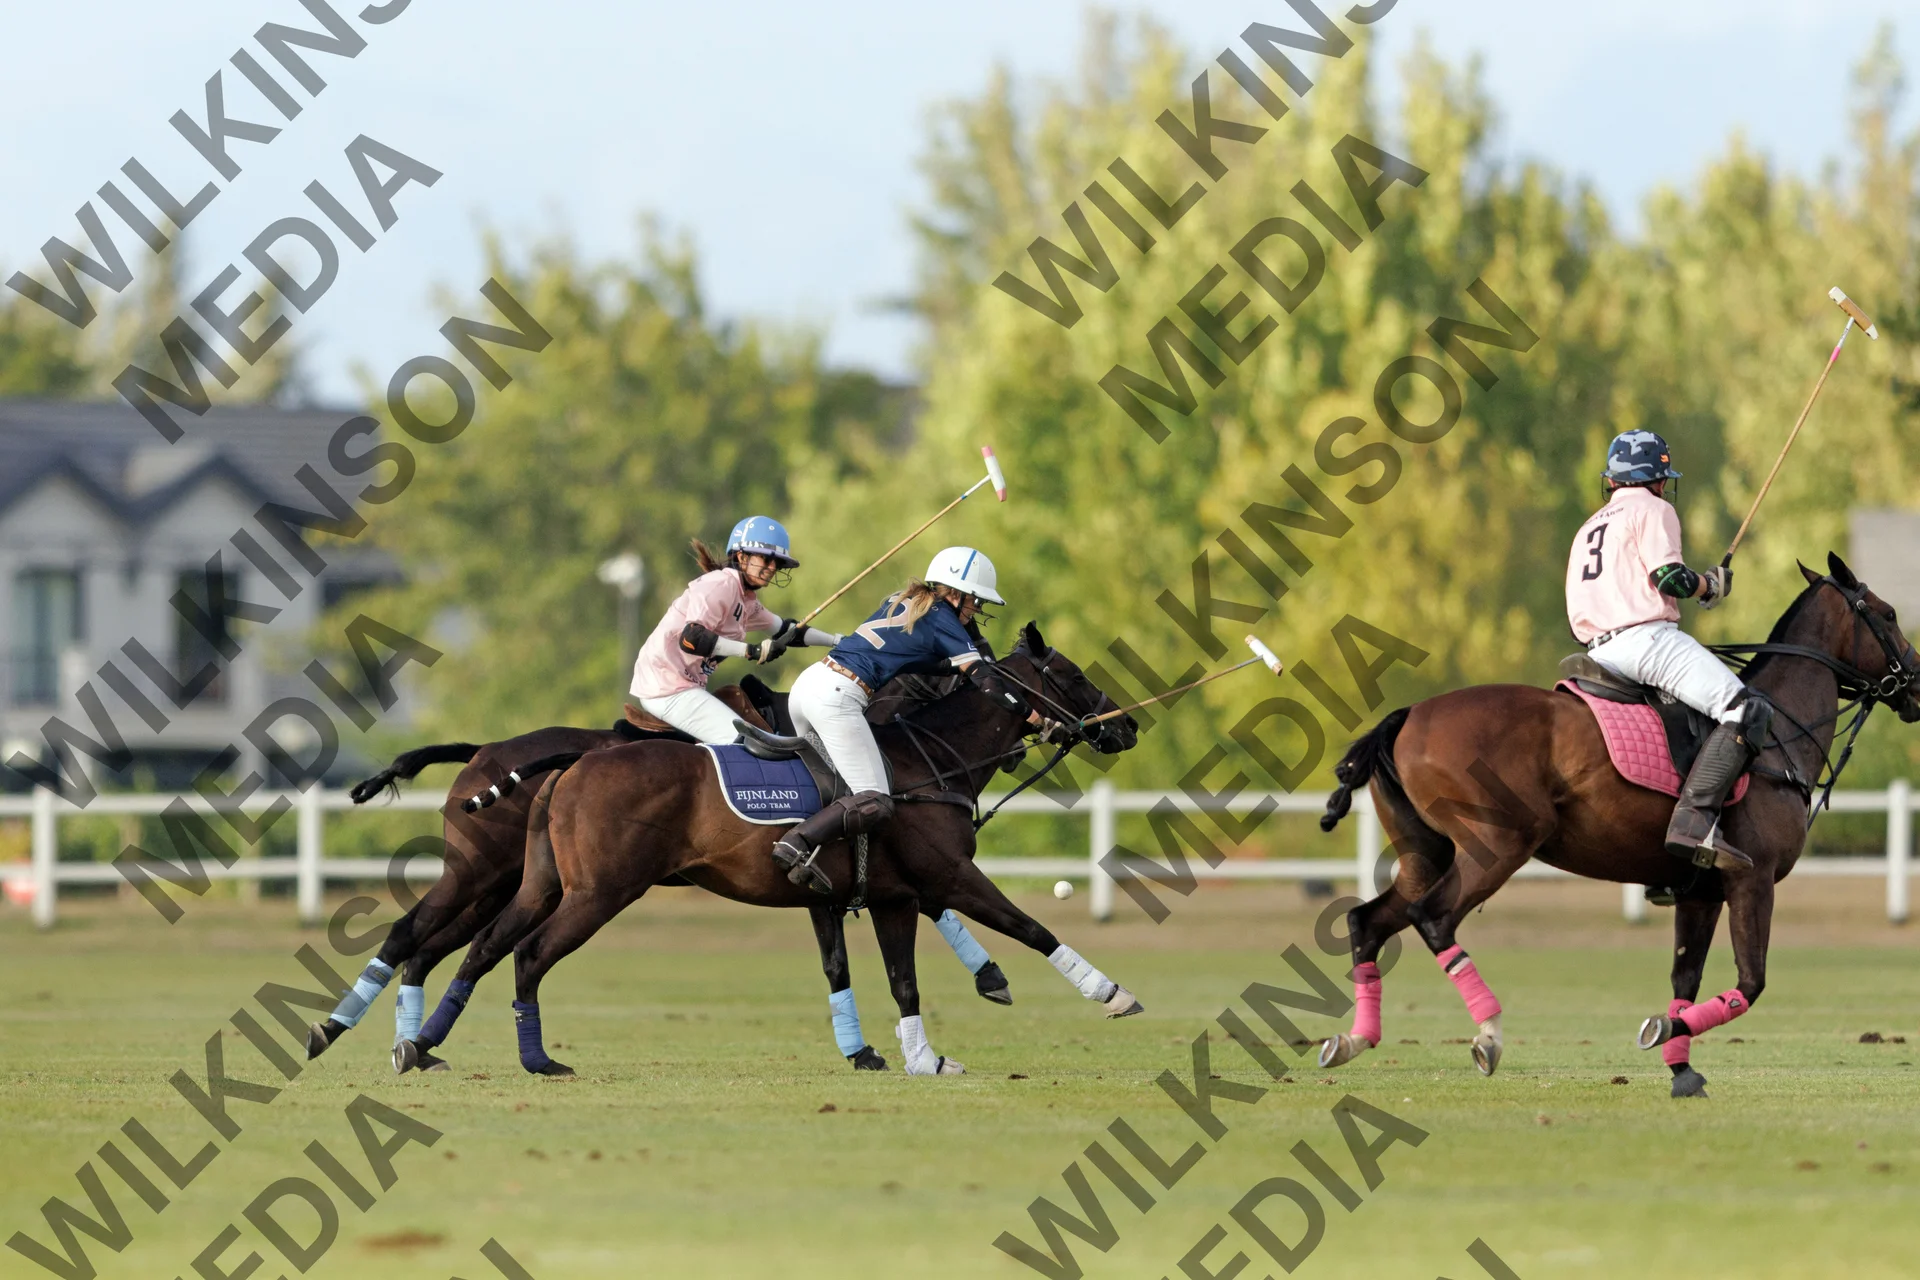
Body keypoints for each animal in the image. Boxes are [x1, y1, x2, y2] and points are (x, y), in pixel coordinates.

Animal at [305, 679, 1018, 1073]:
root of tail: (481, 751)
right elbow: (937, 902)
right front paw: (990, 976)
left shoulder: (833, 878)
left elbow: (863, 944)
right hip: (493, 877)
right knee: (415, 936)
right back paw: (343, 1034)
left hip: (508, 886)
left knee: (444, 948)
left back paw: (413, 1045)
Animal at [398, 621, 1143, 1077]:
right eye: (1070, 672)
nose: (1127, 727)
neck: (924, 757)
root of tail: (567, 761)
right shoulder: (948, 876)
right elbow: (1030, 926)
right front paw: (1111, 993)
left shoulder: (887, 896)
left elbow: (889, 976)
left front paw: (914, 1058)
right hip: (588, 891)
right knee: (511, 951)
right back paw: (534, 1060)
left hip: (537, 883)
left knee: (477, 946)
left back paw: (418, 1043)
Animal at [1317, 554, 1918, 1097]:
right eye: (1887, 614)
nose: (1915, 684)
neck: (1779, 736)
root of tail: (1407, 716)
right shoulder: (1752, 879)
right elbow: (1751, 983)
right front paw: (1663, 1032)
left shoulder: (1700, 891)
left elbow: (1685, 978)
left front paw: (1681, 1069)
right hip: (1496, 846)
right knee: (1433, 917)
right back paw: (1488, 1035)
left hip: (1425, 854)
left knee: (1366, 921)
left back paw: (1352, 1040)